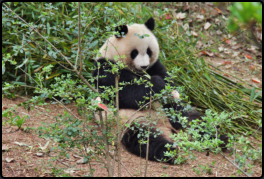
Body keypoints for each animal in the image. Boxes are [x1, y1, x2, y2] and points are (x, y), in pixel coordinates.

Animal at [92, 17, 228, 163]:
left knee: (195, 121)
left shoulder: (155, 66)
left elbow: (169, 86)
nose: (144, 66)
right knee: (147, 141)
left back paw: (219, 139)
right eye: (134, 52)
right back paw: (170, 152)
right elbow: (126, 93)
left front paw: (170, 94)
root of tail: (165, 127)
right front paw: (156, 83)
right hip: (131, 123)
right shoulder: (106, 68)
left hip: (179, 117)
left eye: (149, 51)